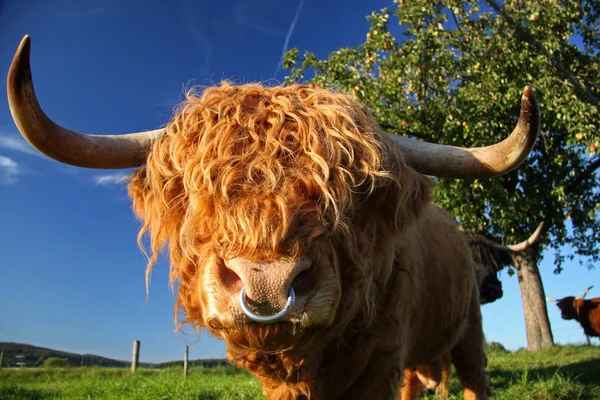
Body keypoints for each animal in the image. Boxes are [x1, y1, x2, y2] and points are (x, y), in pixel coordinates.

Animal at [5, 35, 540, 400]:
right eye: (192, 189)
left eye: (360, 188)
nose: (268, 283)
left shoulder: (383, 360)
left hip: (469, 330)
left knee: (473, 378)